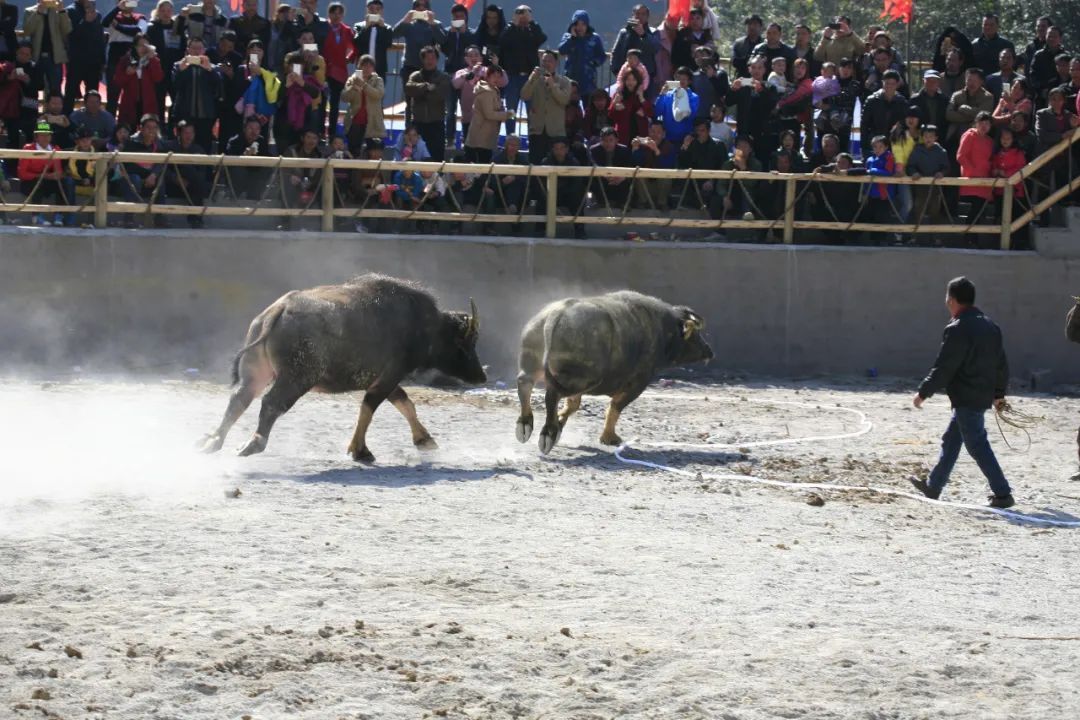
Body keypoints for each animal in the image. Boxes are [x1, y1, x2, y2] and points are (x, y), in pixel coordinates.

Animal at [198, 273, 486, 464]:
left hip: (256, 371)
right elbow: (369, 408)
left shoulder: (385, 379)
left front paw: (425, 440)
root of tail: (278, 310)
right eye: (466, 344)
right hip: (297, 378)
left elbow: (405, 403)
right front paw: (360, 450)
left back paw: (213, 440)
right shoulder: (389, 377)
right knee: (271, 403)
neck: (423, 325)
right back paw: (253, 443)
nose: (482, 376)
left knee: (239, 398)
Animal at [516, 289, 712, 453]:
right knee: (552, 394)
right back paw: (548, 433)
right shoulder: (638, 383)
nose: (709, 351)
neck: (662, 331)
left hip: (543, 366)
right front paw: (609, 438)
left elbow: (573, 405)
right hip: (583, 378)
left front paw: (560, 424)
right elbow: (615, 407)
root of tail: (555, 314)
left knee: (525, 382)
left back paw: (526, 424)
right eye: (695, 335)